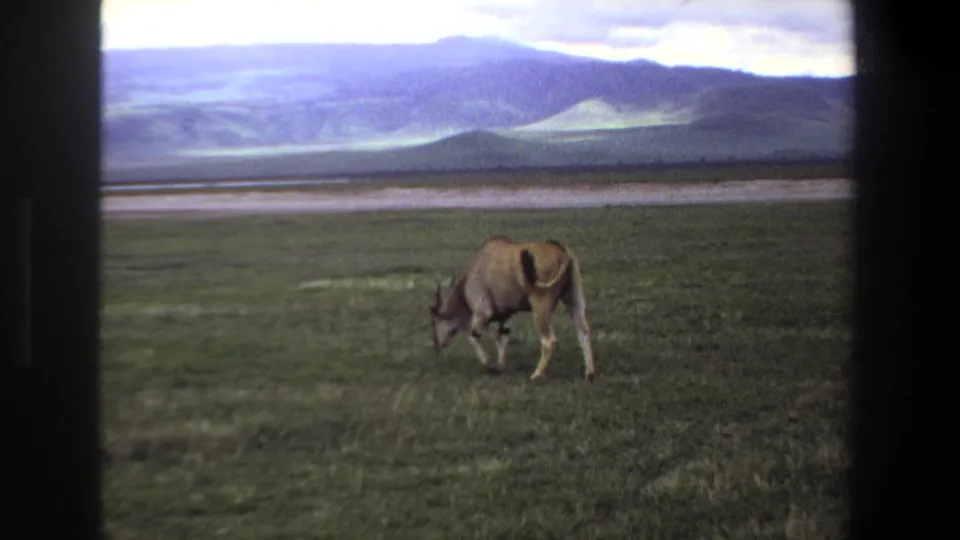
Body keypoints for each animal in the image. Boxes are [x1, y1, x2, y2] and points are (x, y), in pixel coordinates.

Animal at [428, 236, 596, 381]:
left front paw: (488, 365)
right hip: (574, 300)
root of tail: (563, 251)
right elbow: (502, 336)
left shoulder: (482, 312)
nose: (437, 344)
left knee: (549, 340)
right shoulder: (506, 315)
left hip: (540, 305)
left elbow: (473, 334)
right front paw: (500, 366)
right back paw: (589, 374)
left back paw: (536, 375)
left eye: (434, 322)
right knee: (584, 331)